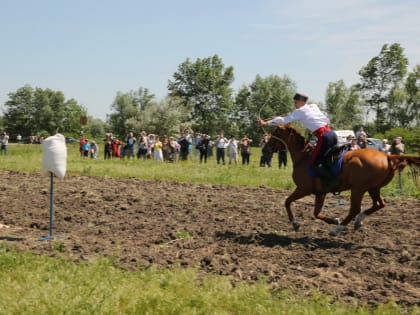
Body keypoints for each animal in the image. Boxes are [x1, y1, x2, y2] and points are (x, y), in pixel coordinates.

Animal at [262, 124, 420, 236]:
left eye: (276, 134)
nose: (265, 149)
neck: (303, 157)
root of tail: (388, 156)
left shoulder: (303, 189)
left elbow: (287, 202)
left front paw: (295, 224)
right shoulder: (320, 193)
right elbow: (316, 213)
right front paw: (333, 220)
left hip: (358, 189)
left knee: (355, 209)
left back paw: (337, 229)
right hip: (373, 188)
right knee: (379, 204)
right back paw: (357, 222)